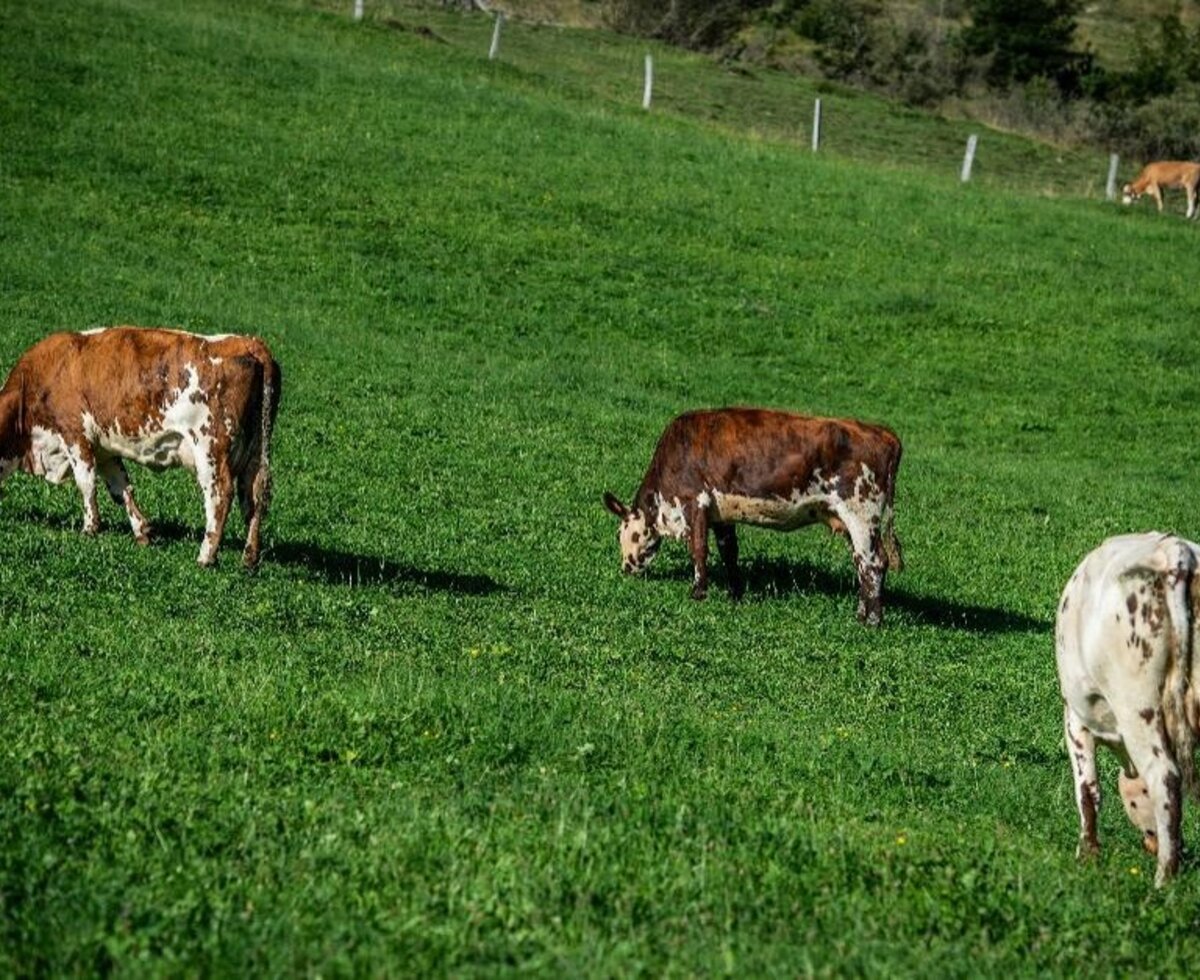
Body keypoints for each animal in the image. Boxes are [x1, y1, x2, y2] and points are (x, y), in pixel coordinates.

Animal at [0, 326, 281, 568]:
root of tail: (250, 343)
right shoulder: (104, 448)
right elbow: (120, 488)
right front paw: (142, 531)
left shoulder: (75, 433)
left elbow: (86, 484)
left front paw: (89, 529)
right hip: (256, 451)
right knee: (254, 495)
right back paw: (249, 557)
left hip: (209, 447)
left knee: (220, 494)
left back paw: (206, 556)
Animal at [603, 408, 903, 625]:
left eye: (620, 534)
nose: (626, 568)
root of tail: (884, 434)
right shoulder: (720, 513)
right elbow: (729, 552)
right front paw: (735, 593)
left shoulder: (695, 501)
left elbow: (698, 549)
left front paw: (698, 593)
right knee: (862, 562)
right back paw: (863, 613)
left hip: (861, 512)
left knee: (873, 563)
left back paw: (870, 621)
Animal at [1056, 532, 1200, 886]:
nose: (1150, 844)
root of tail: (1175, 551)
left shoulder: (1075, 720)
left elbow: (1087, 791)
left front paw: (1087, 854)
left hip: (1138, 708)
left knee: (1165, 778)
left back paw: (1163, 878)